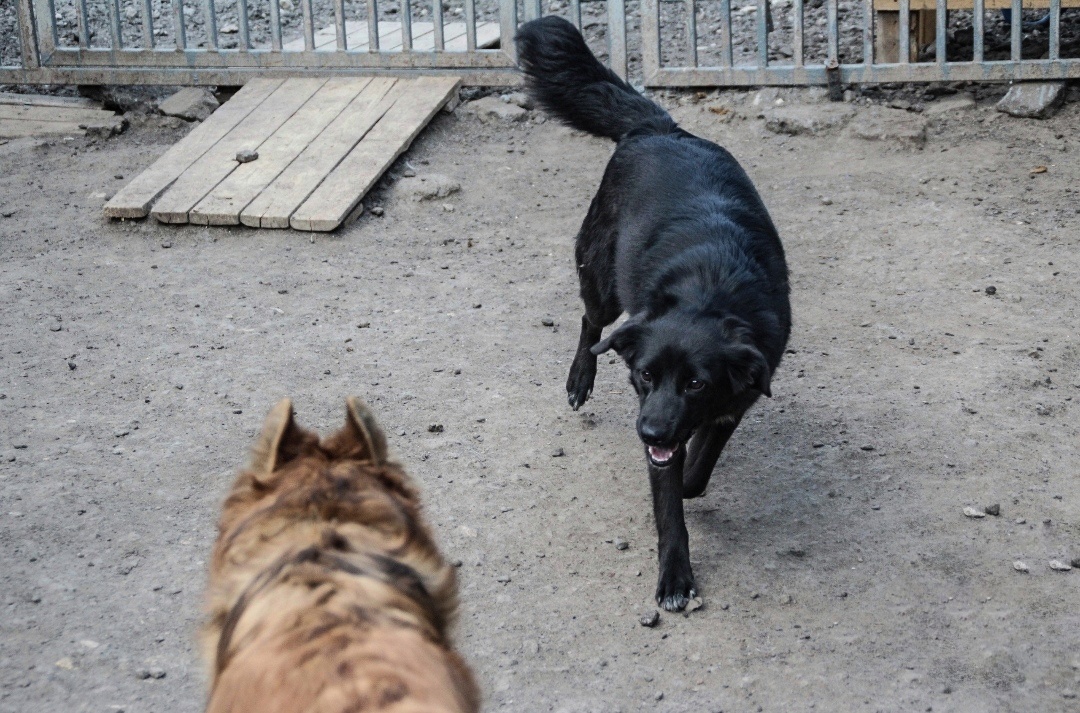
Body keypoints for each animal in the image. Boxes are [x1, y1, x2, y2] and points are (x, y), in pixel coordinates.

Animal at [518, 16, 790, 609]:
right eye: (644, 375)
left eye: (697, 382)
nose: (648, 433)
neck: (709, 292)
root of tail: (659, 128)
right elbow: (669, 509)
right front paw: (675, 577)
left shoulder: (736, 400)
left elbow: (698, 469)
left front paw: (690, 480)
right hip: (600, 276)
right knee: (591, 322)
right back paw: (580, 378)